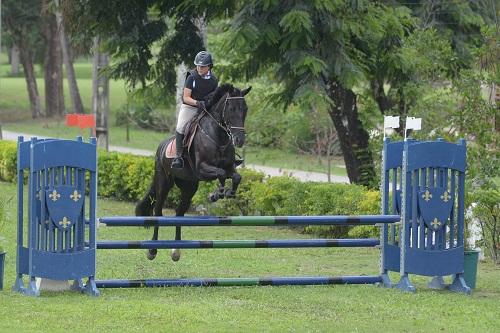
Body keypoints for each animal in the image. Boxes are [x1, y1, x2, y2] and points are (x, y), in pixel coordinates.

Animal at [134, 83, 250, 260]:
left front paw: (225, 193)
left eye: (245, 109)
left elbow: (235, 176)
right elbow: (221, 174)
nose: (239, 140)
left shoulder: (229, 167)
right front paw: (217, 194)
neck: (218, 136)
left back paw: (176, 251)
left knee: (179, 214)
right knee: (158, 211)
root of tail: (161, 147)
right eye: (231, 108)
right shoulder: (202, 168)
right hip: (163, 183)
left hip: (189, 187)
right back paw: (152, 250)